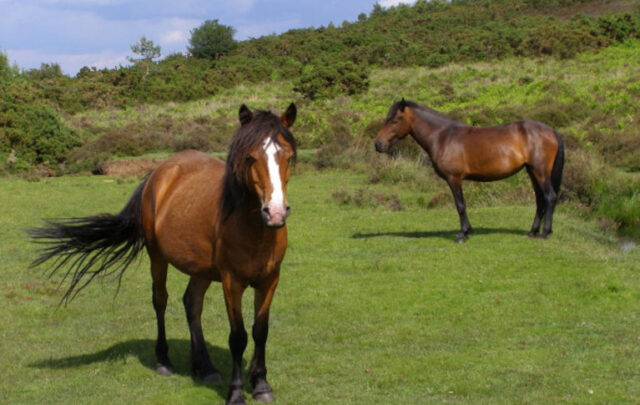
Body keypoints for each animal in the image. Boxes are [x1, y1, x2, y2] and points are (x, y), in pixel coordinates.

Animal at [30, 103, 298, 405]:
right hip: (157, 257)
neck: (253, 228)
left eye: (289, 157)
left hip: (201, 269)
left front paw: (261, 384)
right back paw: (164, 361)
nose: (275, 212)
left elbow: (260, 331)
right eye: (251, 157)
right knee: (160, 301)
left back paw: (204, 367)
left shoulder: (270, 280)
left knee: (192, 304)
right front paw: (236, 392)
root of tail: (159, 172)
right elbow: (238, 336)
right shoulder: (232, 282)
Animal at [374, 99, 564, 243]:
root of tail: (551, 131)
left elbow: (460, 205)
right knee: (540, 200)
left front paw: (463, 234)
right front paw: (468, 231)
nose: (378, 144)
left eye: (394, 120)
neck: (443, 137)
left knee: (549, 197)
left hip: (540, 172)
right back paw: (532, 232)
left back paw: (544, 233)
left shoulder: (454, 178)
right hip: (532, 172)